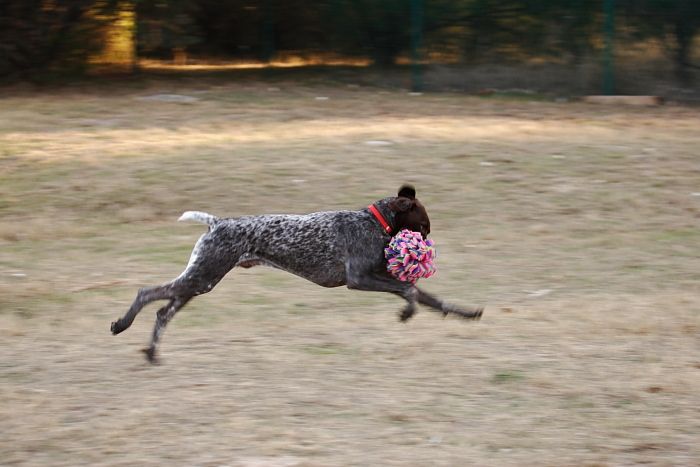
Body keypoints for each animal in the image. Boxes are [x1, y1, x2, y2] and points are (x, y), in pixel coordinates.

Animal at [110, 185, 482, 364]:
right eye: (423, 227)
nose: (429, 244)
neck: (373, 221)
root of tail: (218, 222)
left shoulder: (378, 277)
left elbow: (430, 297)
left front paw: (465, 312)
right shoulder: (359, 279)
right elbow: (410, 293)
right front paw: (407, 313)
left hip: (200, 282)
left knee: (162, 312)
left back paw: (151, 353)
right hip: (201, 278)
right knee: (147, 293)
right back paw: (121, 325)